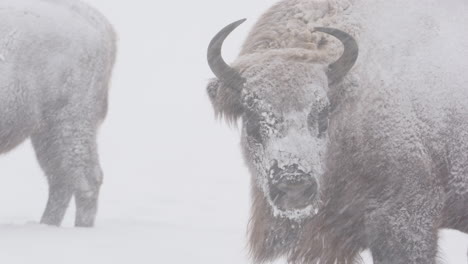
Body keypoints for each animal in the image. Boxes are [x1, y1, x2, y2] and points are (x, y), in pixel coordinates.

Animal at [0, 0, 117, 227]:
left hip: (69, 123)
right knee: (62, 178)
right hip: (46, 132)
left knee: (84, 178)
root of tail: (98, 21)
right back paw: (46, 225)